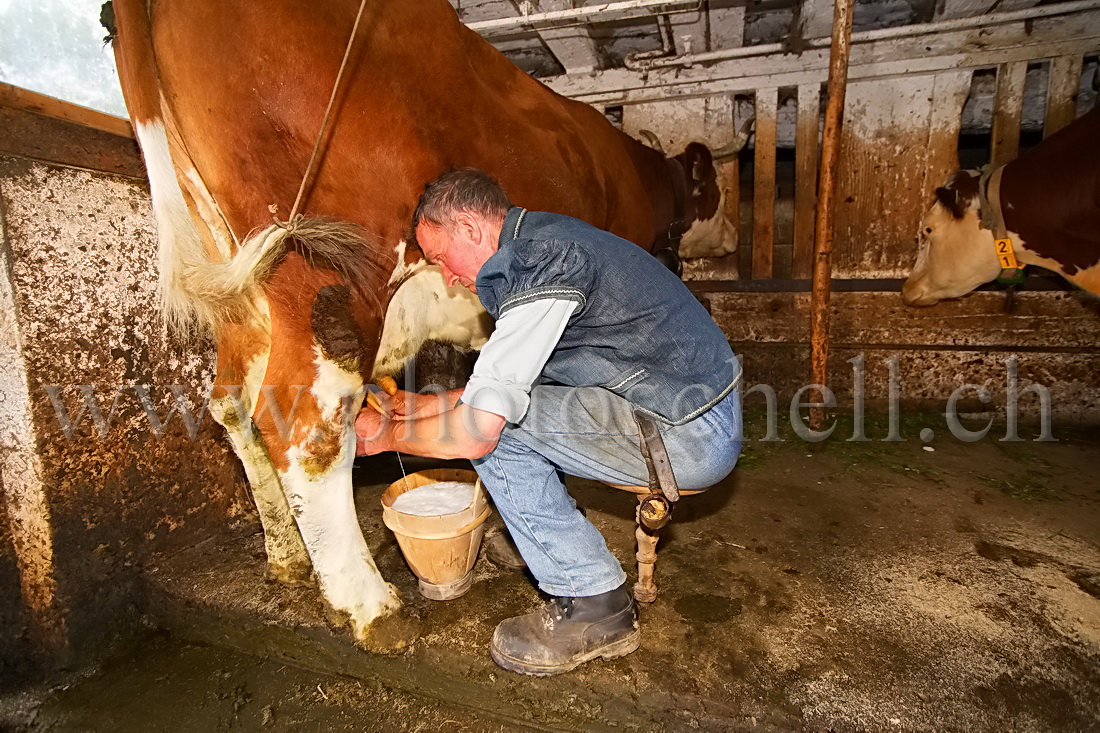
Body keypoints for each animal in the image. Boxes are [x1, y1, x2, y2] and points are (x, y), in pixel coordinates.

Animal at [105, 0, 748, 647]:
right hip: (324, 277)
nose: (733, 239)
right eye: (716, 187)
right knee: (304, 420)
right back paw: (369, 606)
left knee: (233, 406)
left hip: (241, 291)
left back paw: (287, 557)